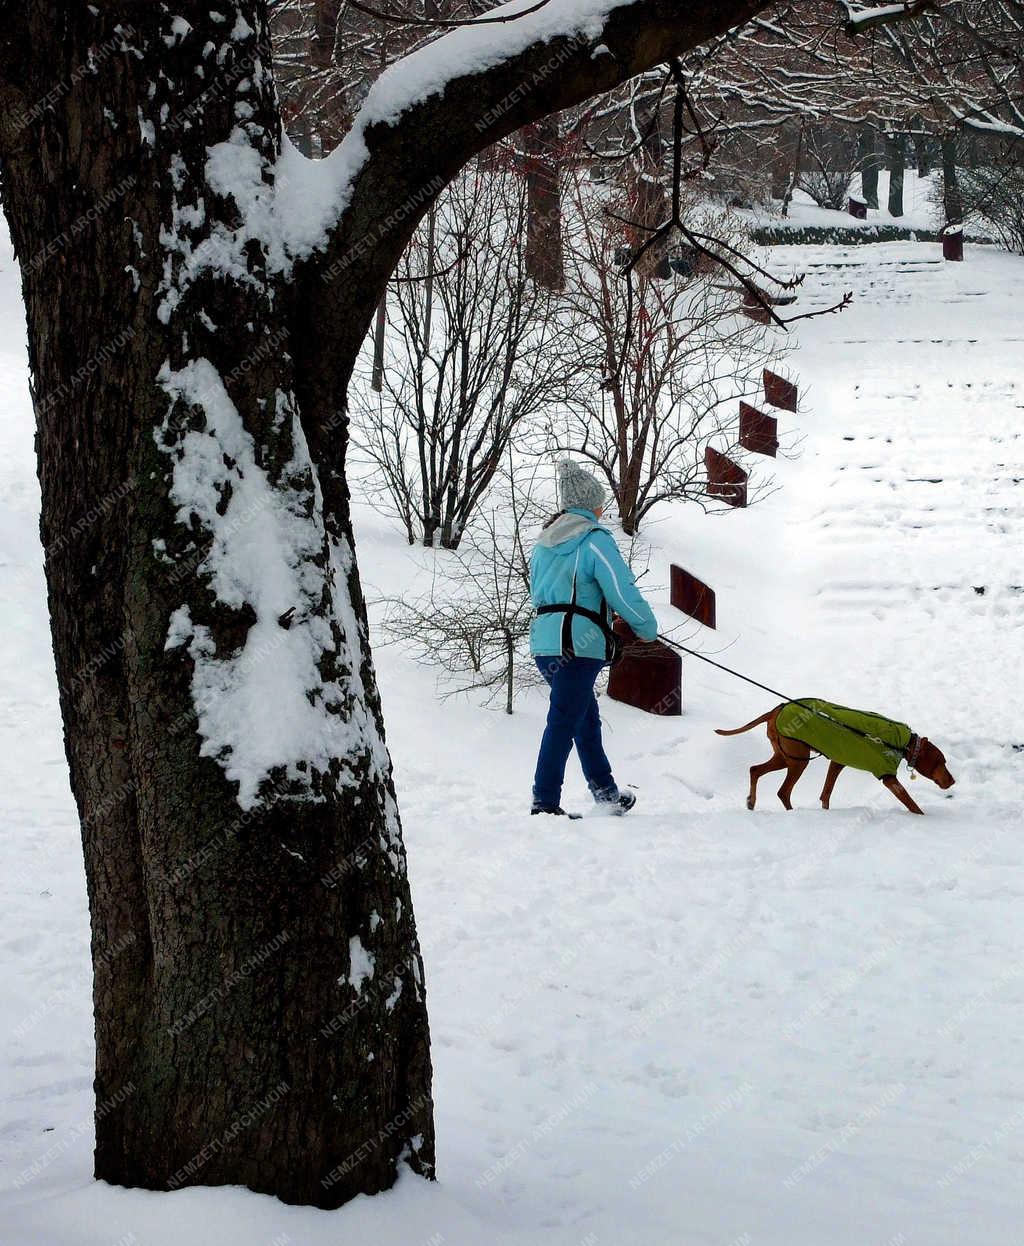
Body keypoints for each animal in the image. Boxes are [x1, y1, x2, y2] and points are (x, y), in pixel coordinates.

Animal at [717, 707, 956, 812]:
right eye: (942, 762)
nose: (953, 781)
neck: (904, 744)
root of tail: (777, 709)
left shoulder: (837, 762)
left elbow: (826, 793)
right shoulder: (887, 776)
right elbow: (910, 801)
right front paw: (922, 817)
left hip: (786, 757)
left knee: (754, 769)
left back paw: (751, 802)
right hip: (798, 760)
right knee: (782, 791)